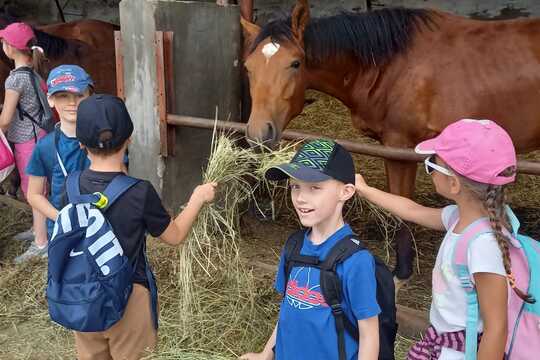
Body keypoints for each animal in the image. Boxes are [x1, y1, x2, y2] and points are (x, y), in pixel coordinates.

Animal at [242, 0, 540, 282]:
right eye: (248, 68)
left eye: (295, 63)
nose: (259, 134)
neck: (391, 66)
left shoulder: (401, 149)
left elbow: (402, 211)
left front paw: (401, 273)